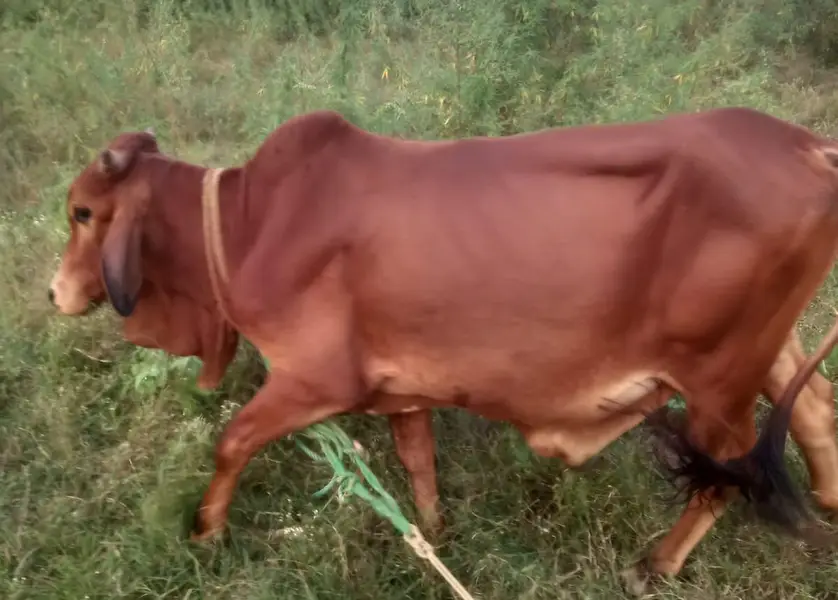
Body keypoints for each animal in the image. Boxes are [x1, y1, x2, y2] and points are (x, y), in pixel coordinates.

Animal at [48, 107, 838, 593]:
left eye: (82, 211)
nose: (55, 293)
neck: (248, 226)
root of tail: (808, 146)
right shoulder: (402, 389)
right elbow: (418, 462)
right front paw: (433, 533)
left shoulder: (315, 380)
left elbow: (232, 441)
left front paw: (206, 532)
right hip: (761, 350)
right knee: (814, 406)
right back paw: (829, 499)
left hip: (717, 378)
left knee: (726, 473)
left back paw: (657, 565)